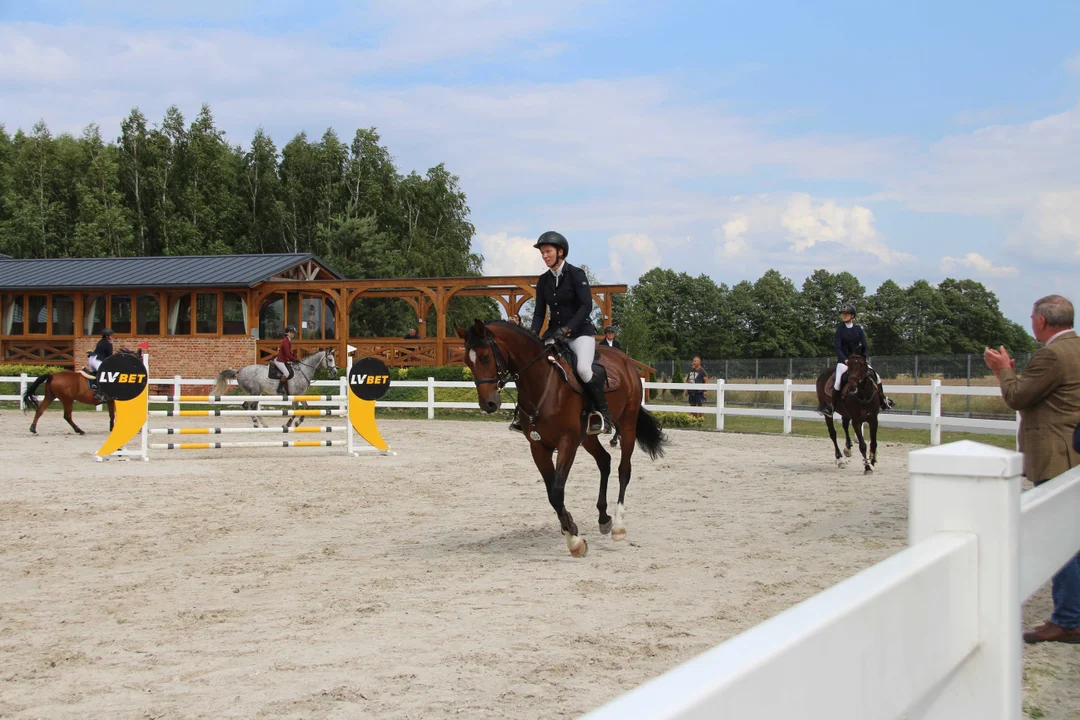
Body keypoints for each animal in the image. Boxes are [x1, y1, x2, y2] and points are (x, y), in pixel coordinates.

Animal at [455, 317, 665, 561]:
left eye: (486, 357)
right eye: (466, 361)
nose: (488, 404)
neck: (541, 384)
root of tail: (626, 361)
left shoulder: (567, 444)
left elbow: (557, 492)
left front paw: (574, 541)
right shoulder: (538, 447)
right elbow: (552, 493)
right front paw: (571, 530)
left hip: (627, 423)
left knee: (624, 469)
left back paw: (618, 525)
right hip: (588, 437)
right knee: (605, 462)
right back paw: (604, 518)